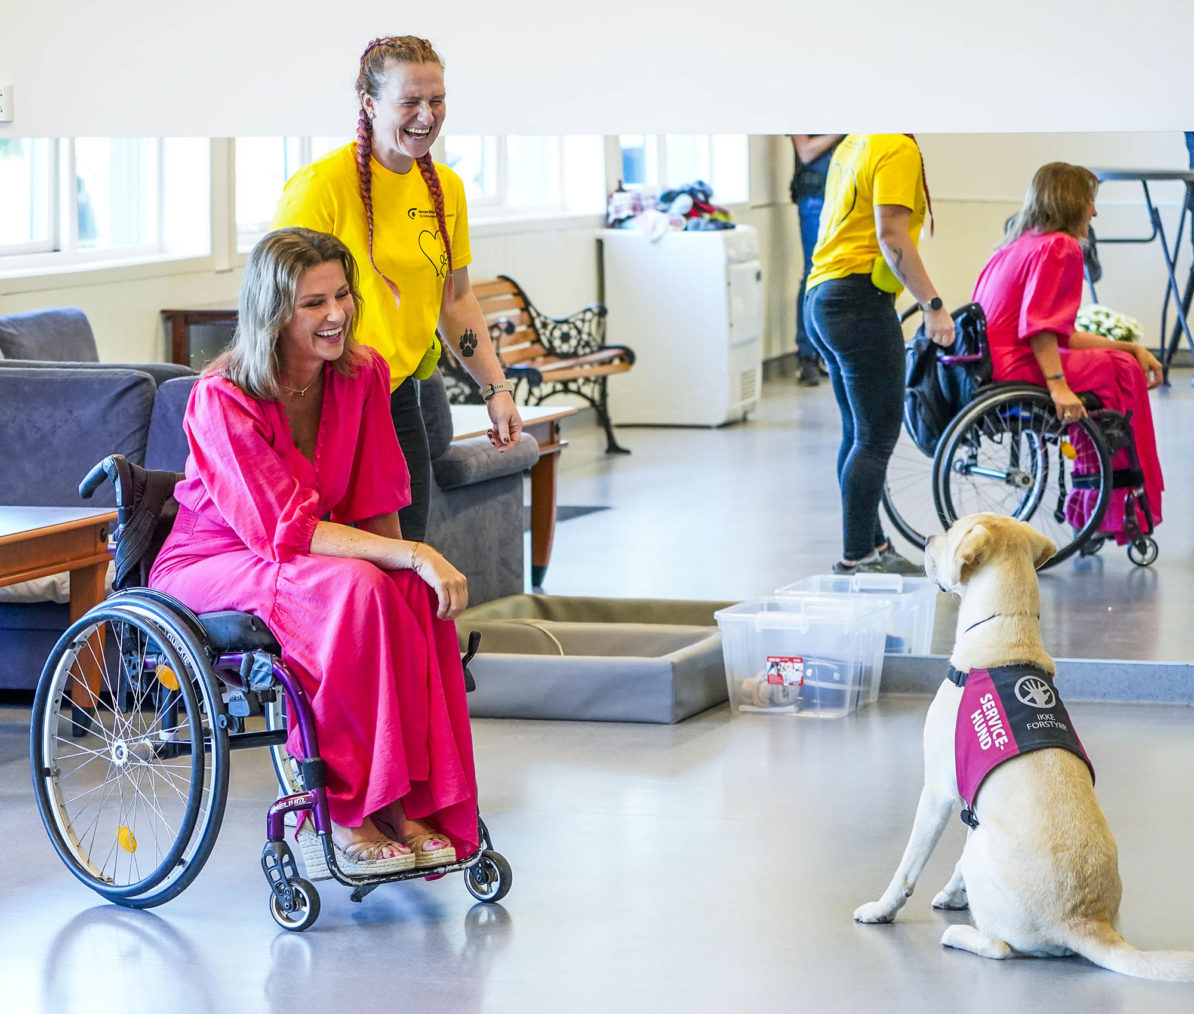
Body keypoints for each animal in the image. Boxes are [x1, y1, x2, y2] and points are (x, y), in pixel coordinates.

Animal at [854, 513, 1194, 979]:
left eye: (952, 531)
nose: (925, 539)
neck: (1004, 634)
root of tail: (1083, 921)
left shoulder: (938, 792)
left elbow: (907, 867)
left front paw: (881, 909)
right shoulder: (973, 804)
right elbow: (957, 859)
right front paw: (955, 893)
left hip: (983, 855)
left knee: (1002, 948)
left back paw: (960, 935)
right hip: (988, 842)